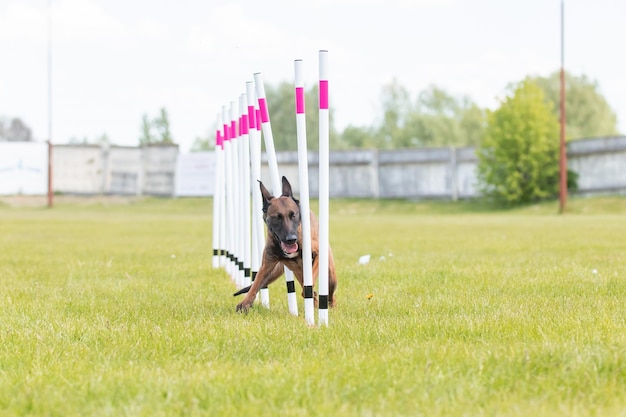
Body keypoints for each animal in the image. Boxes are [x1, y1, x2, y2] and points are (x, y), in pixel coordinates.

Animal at [233, 176, 336, 312]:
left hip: (330, 276)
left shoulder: (317, 255)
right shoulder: (266, 266)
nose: (291, 239)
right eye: (277, 218)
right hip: (298, 271)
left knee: (330, 295)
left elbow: (309, 283)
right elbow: (256, 284)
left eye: (294, 215)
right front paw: (245, 303)